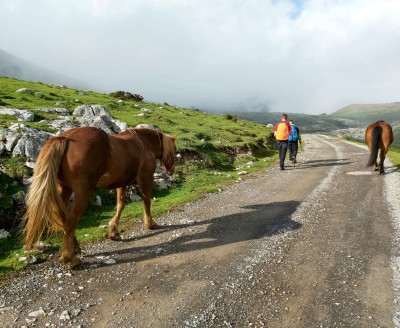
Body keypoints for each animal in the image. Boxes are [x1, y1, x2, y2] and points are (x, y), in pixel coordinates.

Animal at [22, 126, 177, 270]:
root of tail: (65, 138)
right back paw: (70, 259)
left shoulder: (121, 184)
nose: (171, 169)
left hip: (64, 189)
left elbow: (121, 205)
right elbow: (147, 202)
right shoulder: (146, 180)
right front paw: (150, 223)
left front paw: (114, 231)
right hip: (82, 192)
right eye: (174, 151)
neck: (143, 144)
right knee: (71, 220)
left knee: (64, 217)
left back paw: (75, 247)